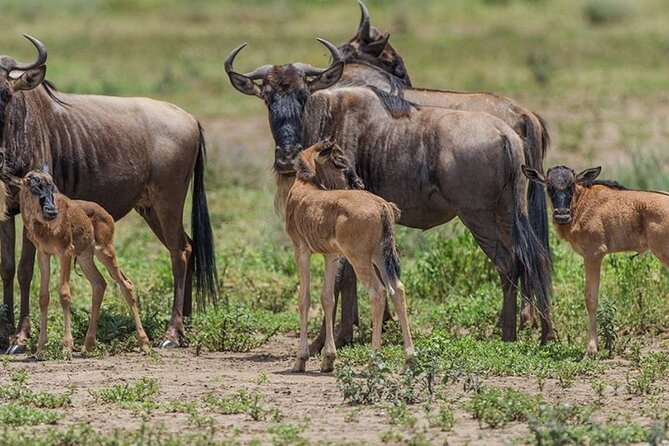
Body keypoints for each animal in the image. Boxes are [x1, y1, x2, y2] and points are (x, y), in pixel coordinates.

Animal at [6, 166, 150, 358]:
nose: (51, 211)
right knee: (99, 283)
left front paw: (66, 347)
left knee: (126, 284)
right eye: (33, 186)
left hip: (105, 252)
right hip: (84, 257)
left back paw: (145, 344)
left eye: (52, 187)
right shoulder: (44, 254)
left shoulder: (65, 252)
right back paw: (88, 345)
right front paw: (40, 348)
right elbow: (43, 297)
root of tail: (107, 215)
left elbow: (64, 294)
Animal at [286, 141, 412, 372]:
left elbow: (304, 299)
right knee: (396, 289)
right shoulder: (331, 256)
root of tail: (382, 206)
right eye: (339, 161)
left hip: (360, 259)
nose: (358, 183)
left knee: (378, 292)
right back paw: (410, 360)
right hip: (380, 256)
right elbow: (327, 297)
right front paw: (328, 359)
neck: (305, 186)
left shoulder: (301, 250)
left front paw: (301, 359)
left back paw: (373, 361)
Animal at [520, 166, 668, 358]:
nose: (562, 216)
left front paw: (590, 350)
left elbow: (590, 298)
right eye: (549, 186)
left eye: (571, 185)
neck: (581, 202)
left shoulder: (593, 254)